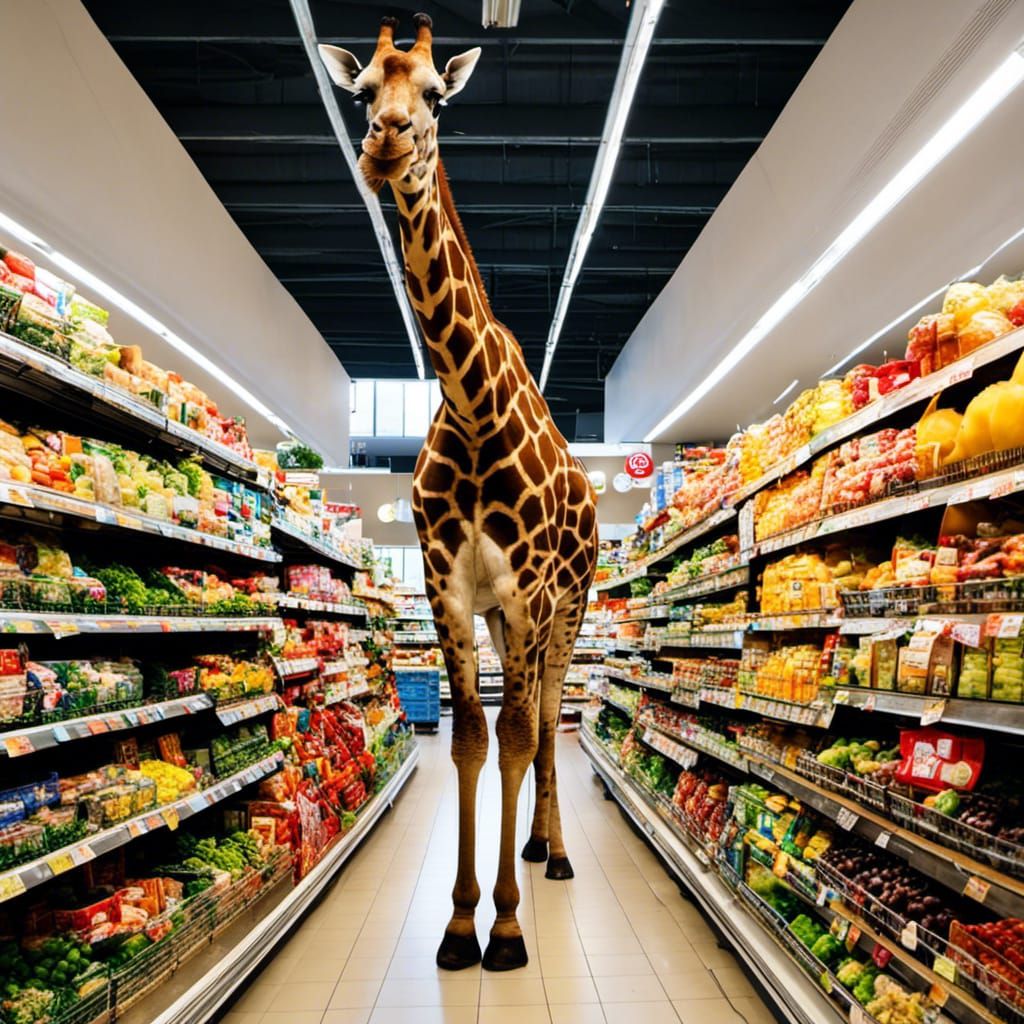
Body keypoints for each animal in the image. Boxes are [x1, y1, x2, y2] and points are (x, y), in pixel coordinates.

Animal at [321, 15, 599, 973]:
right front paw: (459, 922)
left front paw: (506, 927)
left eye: (437, 96)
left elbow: (515, 734)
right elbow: (473, 738)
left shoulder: (527, 591)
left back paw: (555, 854)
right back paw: (534, 847)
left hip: (567, 609)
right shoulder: (450, 591)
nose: (385, 143)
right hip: (506, 619)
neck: (475, 410)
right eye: (362, 91)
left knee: (547, 718)